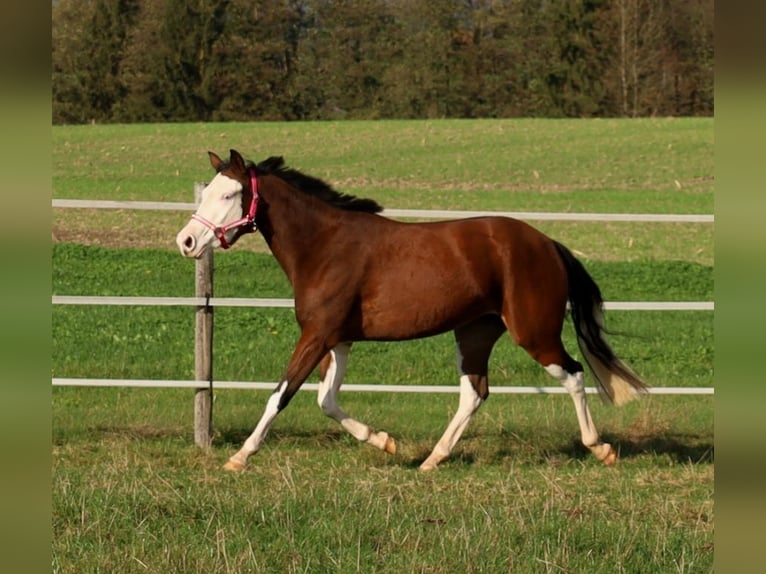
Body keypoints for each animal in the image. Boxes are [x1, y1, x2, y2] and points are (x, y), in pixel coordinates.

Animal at [176, 150, 648, 472]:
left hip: (533, 332)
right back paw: (432, 459)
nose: (187, 242)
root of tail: (547, 244)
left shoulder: (316, 335)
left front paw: (239, 456)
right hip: (475, 331)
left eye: (231, 193)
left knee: (573, 374)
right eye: (210, 191)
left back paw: (600, 448)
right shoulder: (338, 340)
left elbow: (282, 393)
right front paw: (384, 441)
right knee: (475, 392)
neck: (325, 247)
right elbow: (326, 400)